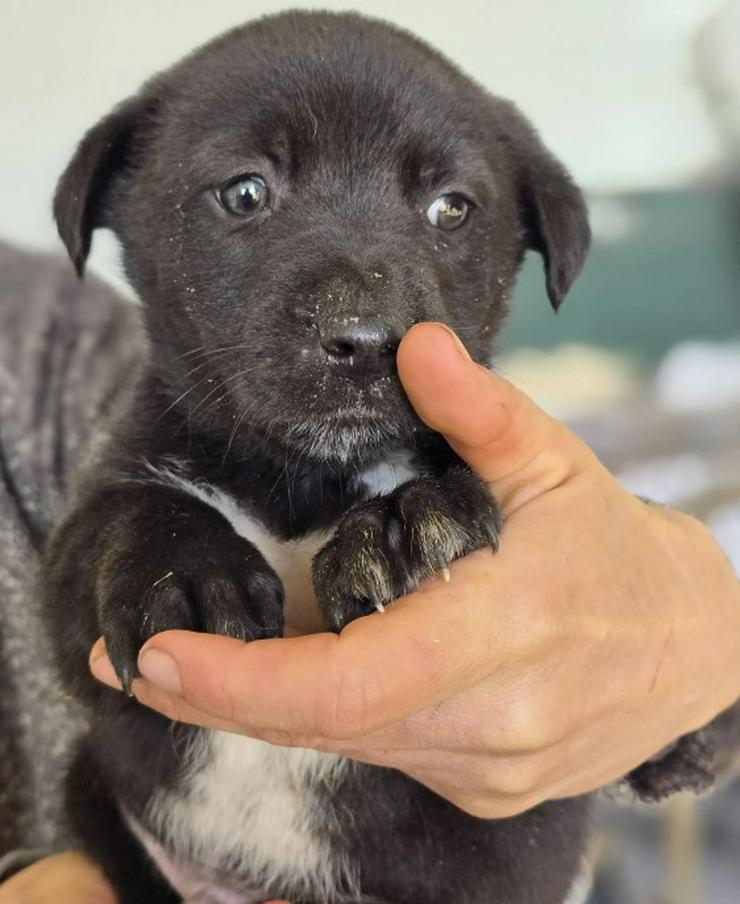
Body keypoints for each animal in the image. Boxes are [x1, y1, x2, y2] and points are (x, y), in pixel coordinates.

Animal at [46, 8, 592, 904]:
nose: (365, 339)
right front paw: (184, 572)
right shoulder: (74, 633)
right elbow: (123, 512)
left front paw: (405, 526)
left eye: (451, 209)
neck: (304, 480)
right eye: (245, 192)